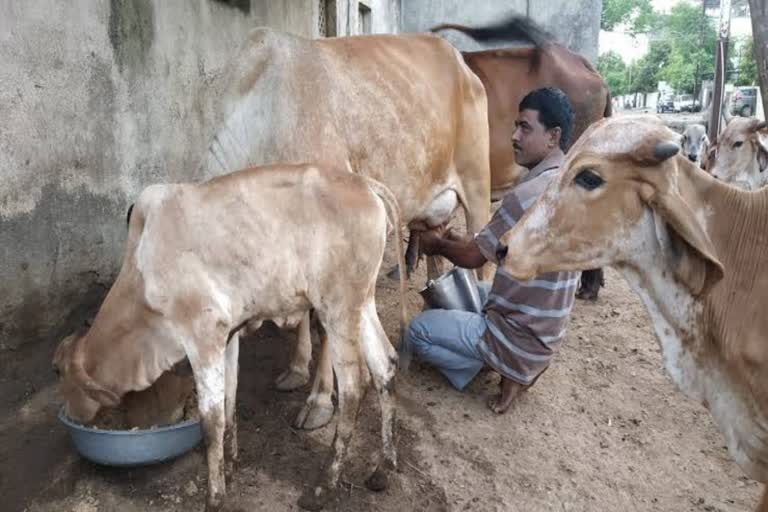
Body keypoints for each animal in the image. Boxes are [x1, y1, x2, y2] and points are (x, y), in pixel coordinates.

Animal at [54, 164, 408, 512]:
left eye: (57, 371)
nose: (72, 413)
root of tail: (366, 184)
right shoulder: (228, 335)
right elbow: (229, 400)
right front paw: (231, 465)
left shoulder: (203, 335)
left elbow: (211, 420)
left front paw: (214, 498)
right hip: (362, 303)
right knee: (385, 366)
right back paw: (383, 469)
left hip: (337, 308)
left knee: (353, 387)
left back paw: (324, 486)